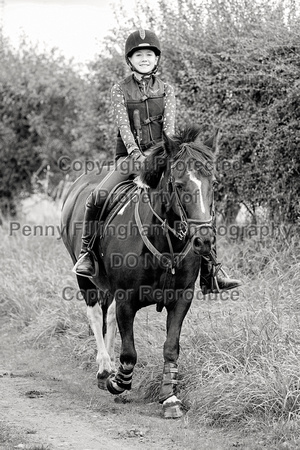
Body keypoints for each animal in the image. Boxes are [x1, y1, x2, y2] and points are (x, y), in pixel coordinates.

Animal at [61, 124, 219, 418]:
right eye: (179, 185)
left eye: (212, 184)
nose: (203, 241)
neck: (165, 244)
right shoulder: (127, 299)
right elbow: (129, 353)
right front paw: (118, 382)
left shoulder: (182, 299)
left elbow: (171, 347)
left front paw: (170, 398)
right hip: (84, 278)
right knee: (93, 314)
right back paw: (104, 368)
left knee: (108, 315)